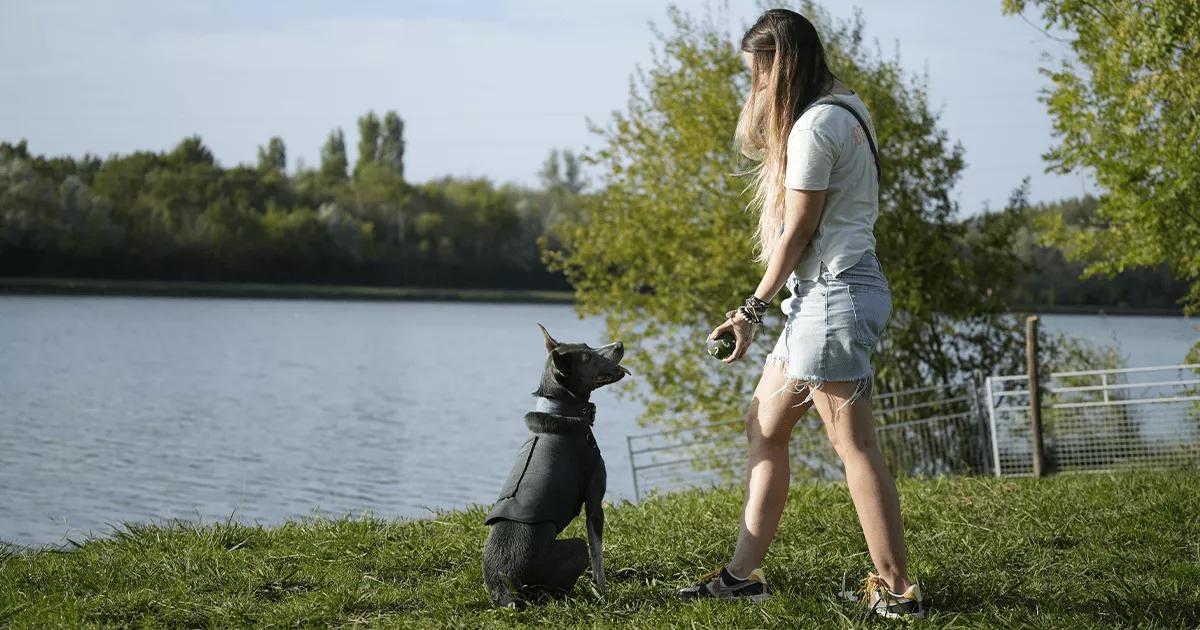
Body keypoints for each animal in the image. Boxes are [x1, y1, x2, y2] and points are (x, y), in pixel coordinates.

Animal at [480, 324, 633, 604]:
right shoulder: (594, 501)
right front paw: (602, 591)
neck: (561, 409)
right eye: (587, 357)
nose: (619, 344)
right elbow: (597, 554)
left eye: (587, 345)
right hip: (575, 548)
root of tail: (506, 589)